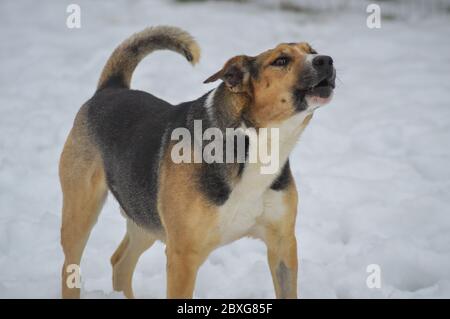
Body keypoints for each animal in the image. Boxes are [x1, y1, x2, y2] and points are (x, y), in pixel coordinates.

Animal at [59, 25, 334, 300]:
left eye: (312, 51)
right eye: (281, 61)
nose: (326, 60)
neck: (256, 144)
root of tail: (111, 88)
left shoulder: (283, 244)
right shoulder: (183, 256)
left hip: (144, 214)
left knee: (120, 262)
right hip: (81, 212)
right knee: (70, 267)